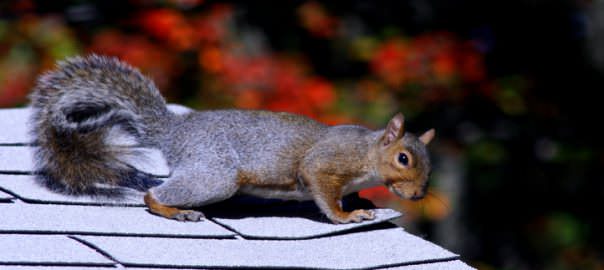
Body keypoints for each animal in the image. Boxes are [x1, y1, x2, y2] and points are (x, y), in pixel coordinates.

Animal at [28, 54, 434, 224]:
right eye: (403, 158)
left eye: (428, 166)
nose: (418, 195)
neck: (367, 153)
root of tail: (176, 133)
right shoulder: (325, 163)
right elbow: (324, 192)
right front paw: (347, 215)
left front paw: (362, 200)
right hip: (216, 174)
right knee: (153, 195)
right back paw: (175, 211)